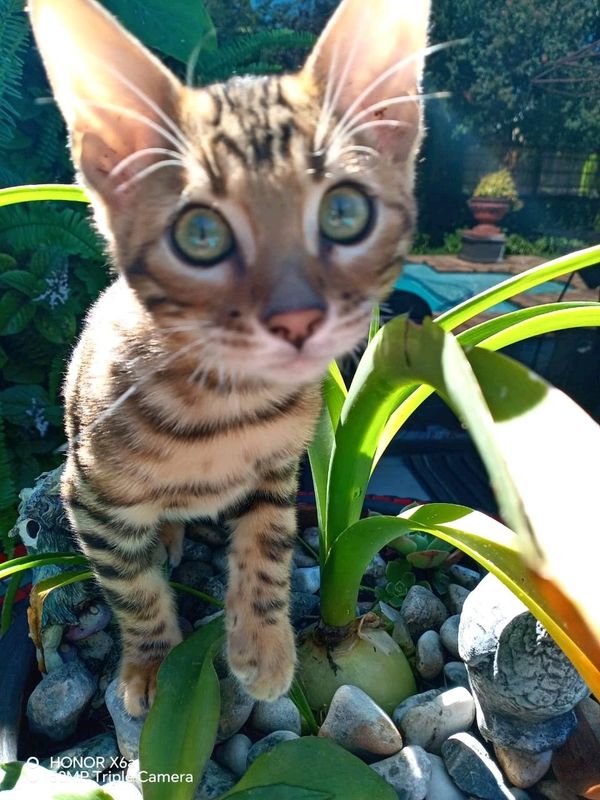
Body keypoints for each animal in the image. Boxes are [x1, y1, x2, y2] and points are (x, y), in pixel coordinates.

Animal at [29, 0, 432, 716]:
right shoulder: (90, 497)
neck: (227, 403)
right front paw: (154, 664)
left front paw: (263, 646)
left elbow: (267, 545)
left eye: (344, 212)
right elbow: (131, 588)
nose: (296, 318)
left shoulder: (279, 468)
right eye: (200, 233)